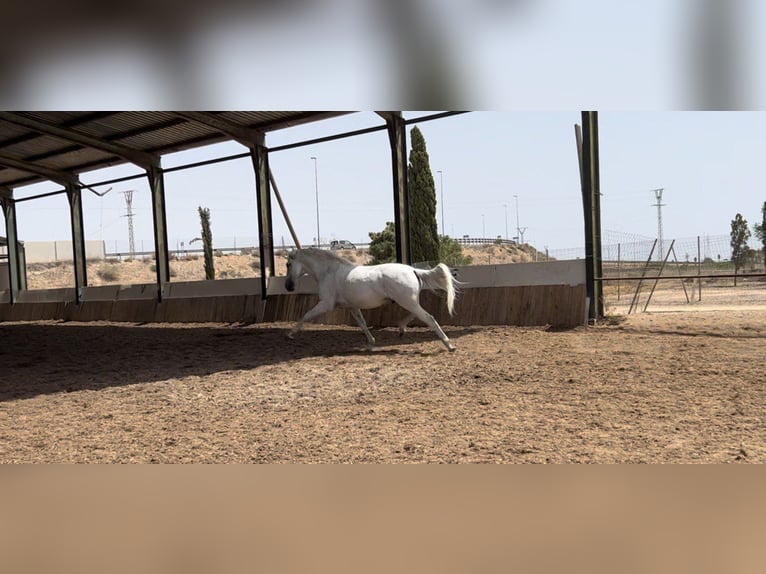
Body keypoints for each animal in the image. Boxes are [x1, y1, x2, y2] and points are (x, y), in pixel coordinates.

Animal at [284, 250, 460, 354]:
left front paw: (290, 335)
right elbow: (362, 324)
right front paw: (371, 343)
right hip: (410, 301)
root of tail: (412, 269)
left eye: (288, 264)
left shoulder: (326, 304)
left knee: (429, 318)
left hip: (407, 301)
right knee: (416, 316)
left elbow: (306, 315)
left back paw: (449, 345)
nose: (288, 286)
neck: (328, 271)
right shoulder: (352, 307)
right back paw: (401, 329)